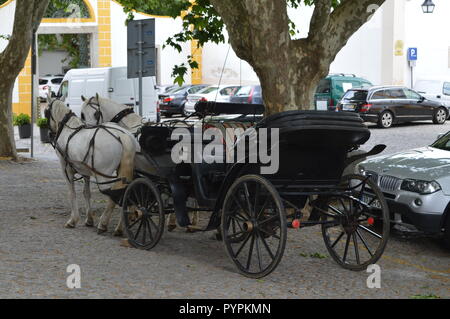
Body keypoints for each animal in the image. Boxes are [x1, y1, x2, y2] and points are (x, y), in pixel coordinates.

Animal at [46, 97, 138, 235]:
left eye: (46, 112)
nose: (49, 133)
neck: (69, 130)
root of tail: (123, 136)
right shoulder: (85, 171)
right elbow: (86, 193)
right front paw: (89, 220)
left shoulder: (65, 169)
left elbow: (72, 193)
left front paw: (73, 220)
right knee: (126, 192)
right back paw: (121, 226)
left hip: (103, 177)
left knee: (115, 195)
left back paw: (104, 224)